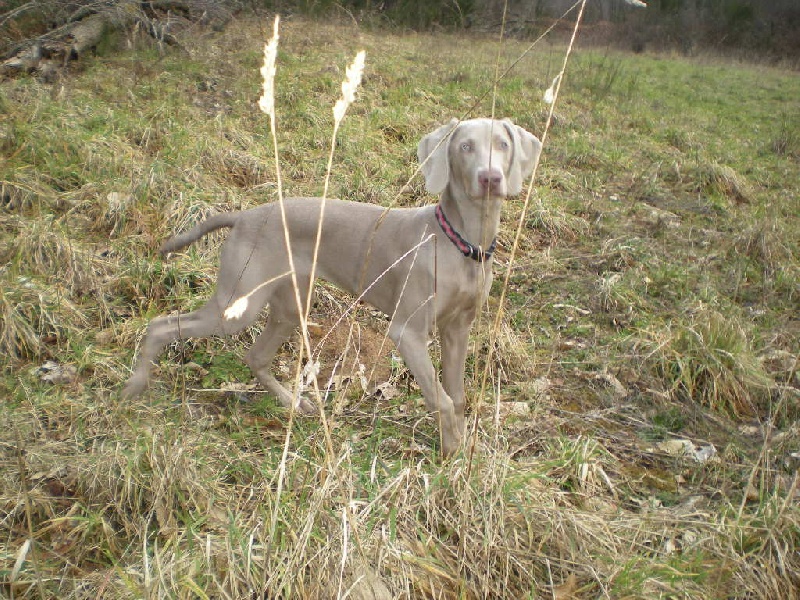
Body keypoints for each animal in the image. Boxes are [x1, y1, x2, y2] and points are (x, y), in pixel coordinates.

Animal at [122, 118, 540, 454]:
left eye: (503, 144)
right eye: (464, 147)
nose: (490, 178)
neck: (460, 243)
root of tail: (244, 216)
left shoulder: (459, 329)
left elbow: (458, 395)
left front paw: (463, 448)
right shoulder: (407, 332)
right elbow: (442, 398)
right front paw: (451, 454)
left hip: (289, 304)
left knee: (255, 356)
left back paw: (293, 403)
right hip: (238, 303)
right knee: (160, 325)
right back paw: (134, 386)